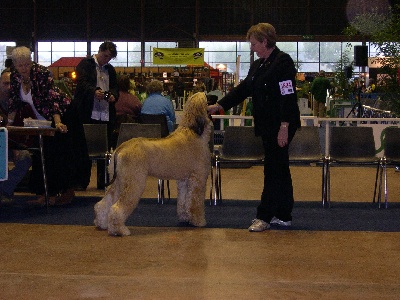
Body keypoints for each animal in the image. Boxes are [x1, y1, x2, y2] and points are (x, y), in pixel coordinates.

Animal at [94, 92, 212, 237]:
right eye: (207, 97)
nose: (215, 98)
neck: (193, 131)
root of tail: (121, 147)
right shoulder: (198, 178)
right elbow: (196, 202)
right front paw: (199, 221)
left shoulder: (184, 180)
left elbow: (185, 200)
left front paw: (185, 217)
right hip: (134, 181)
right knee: (117, 207)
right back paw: (119, 230)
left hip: (120, 181)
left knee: (104, 203)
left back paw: (102, 223)